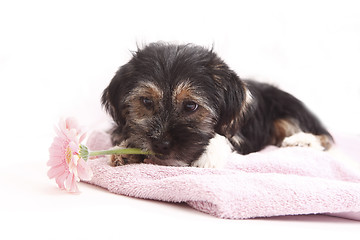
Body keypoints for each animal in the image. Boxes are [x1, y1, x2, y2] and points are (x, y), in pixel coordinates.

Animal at [101, 42, 332, 168]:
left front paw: (208, 156)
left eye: (191, 106)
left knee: (324, 137)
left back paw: (302, 142)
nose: (160, 145)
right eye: (146, 101)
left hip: (288, 112)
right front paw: (124, 151)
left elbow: (221, 137)